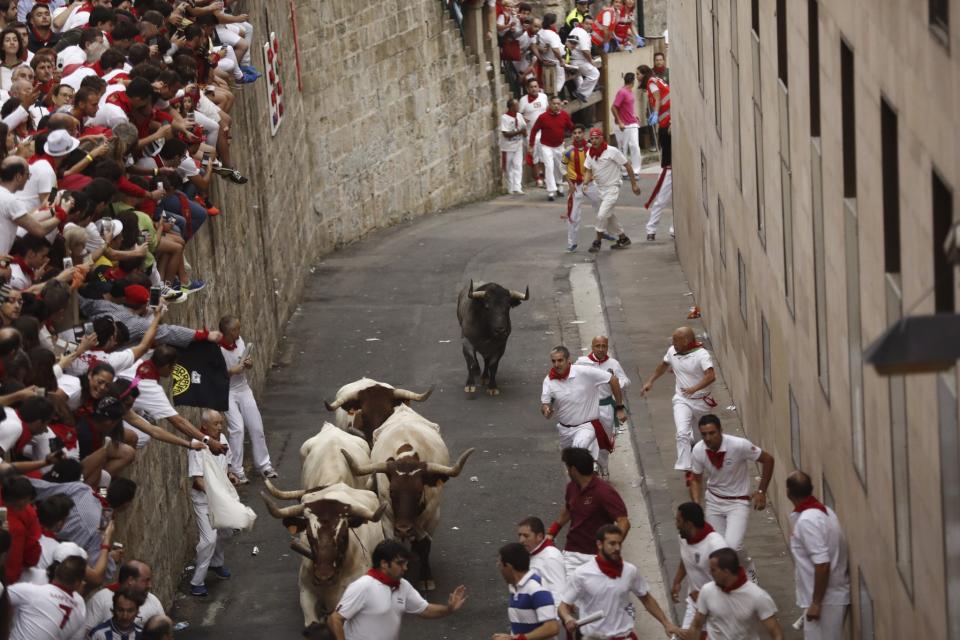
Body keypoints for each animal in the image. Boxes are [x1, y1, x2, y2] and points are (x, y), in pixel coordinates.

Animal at [342, 404, 472, 592]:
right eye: (392, 492)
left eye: (418, 492)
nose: (403, 528)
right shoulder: (387, 517)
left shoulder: (433, 514)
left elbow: (424, 545)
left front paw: (426, 578)